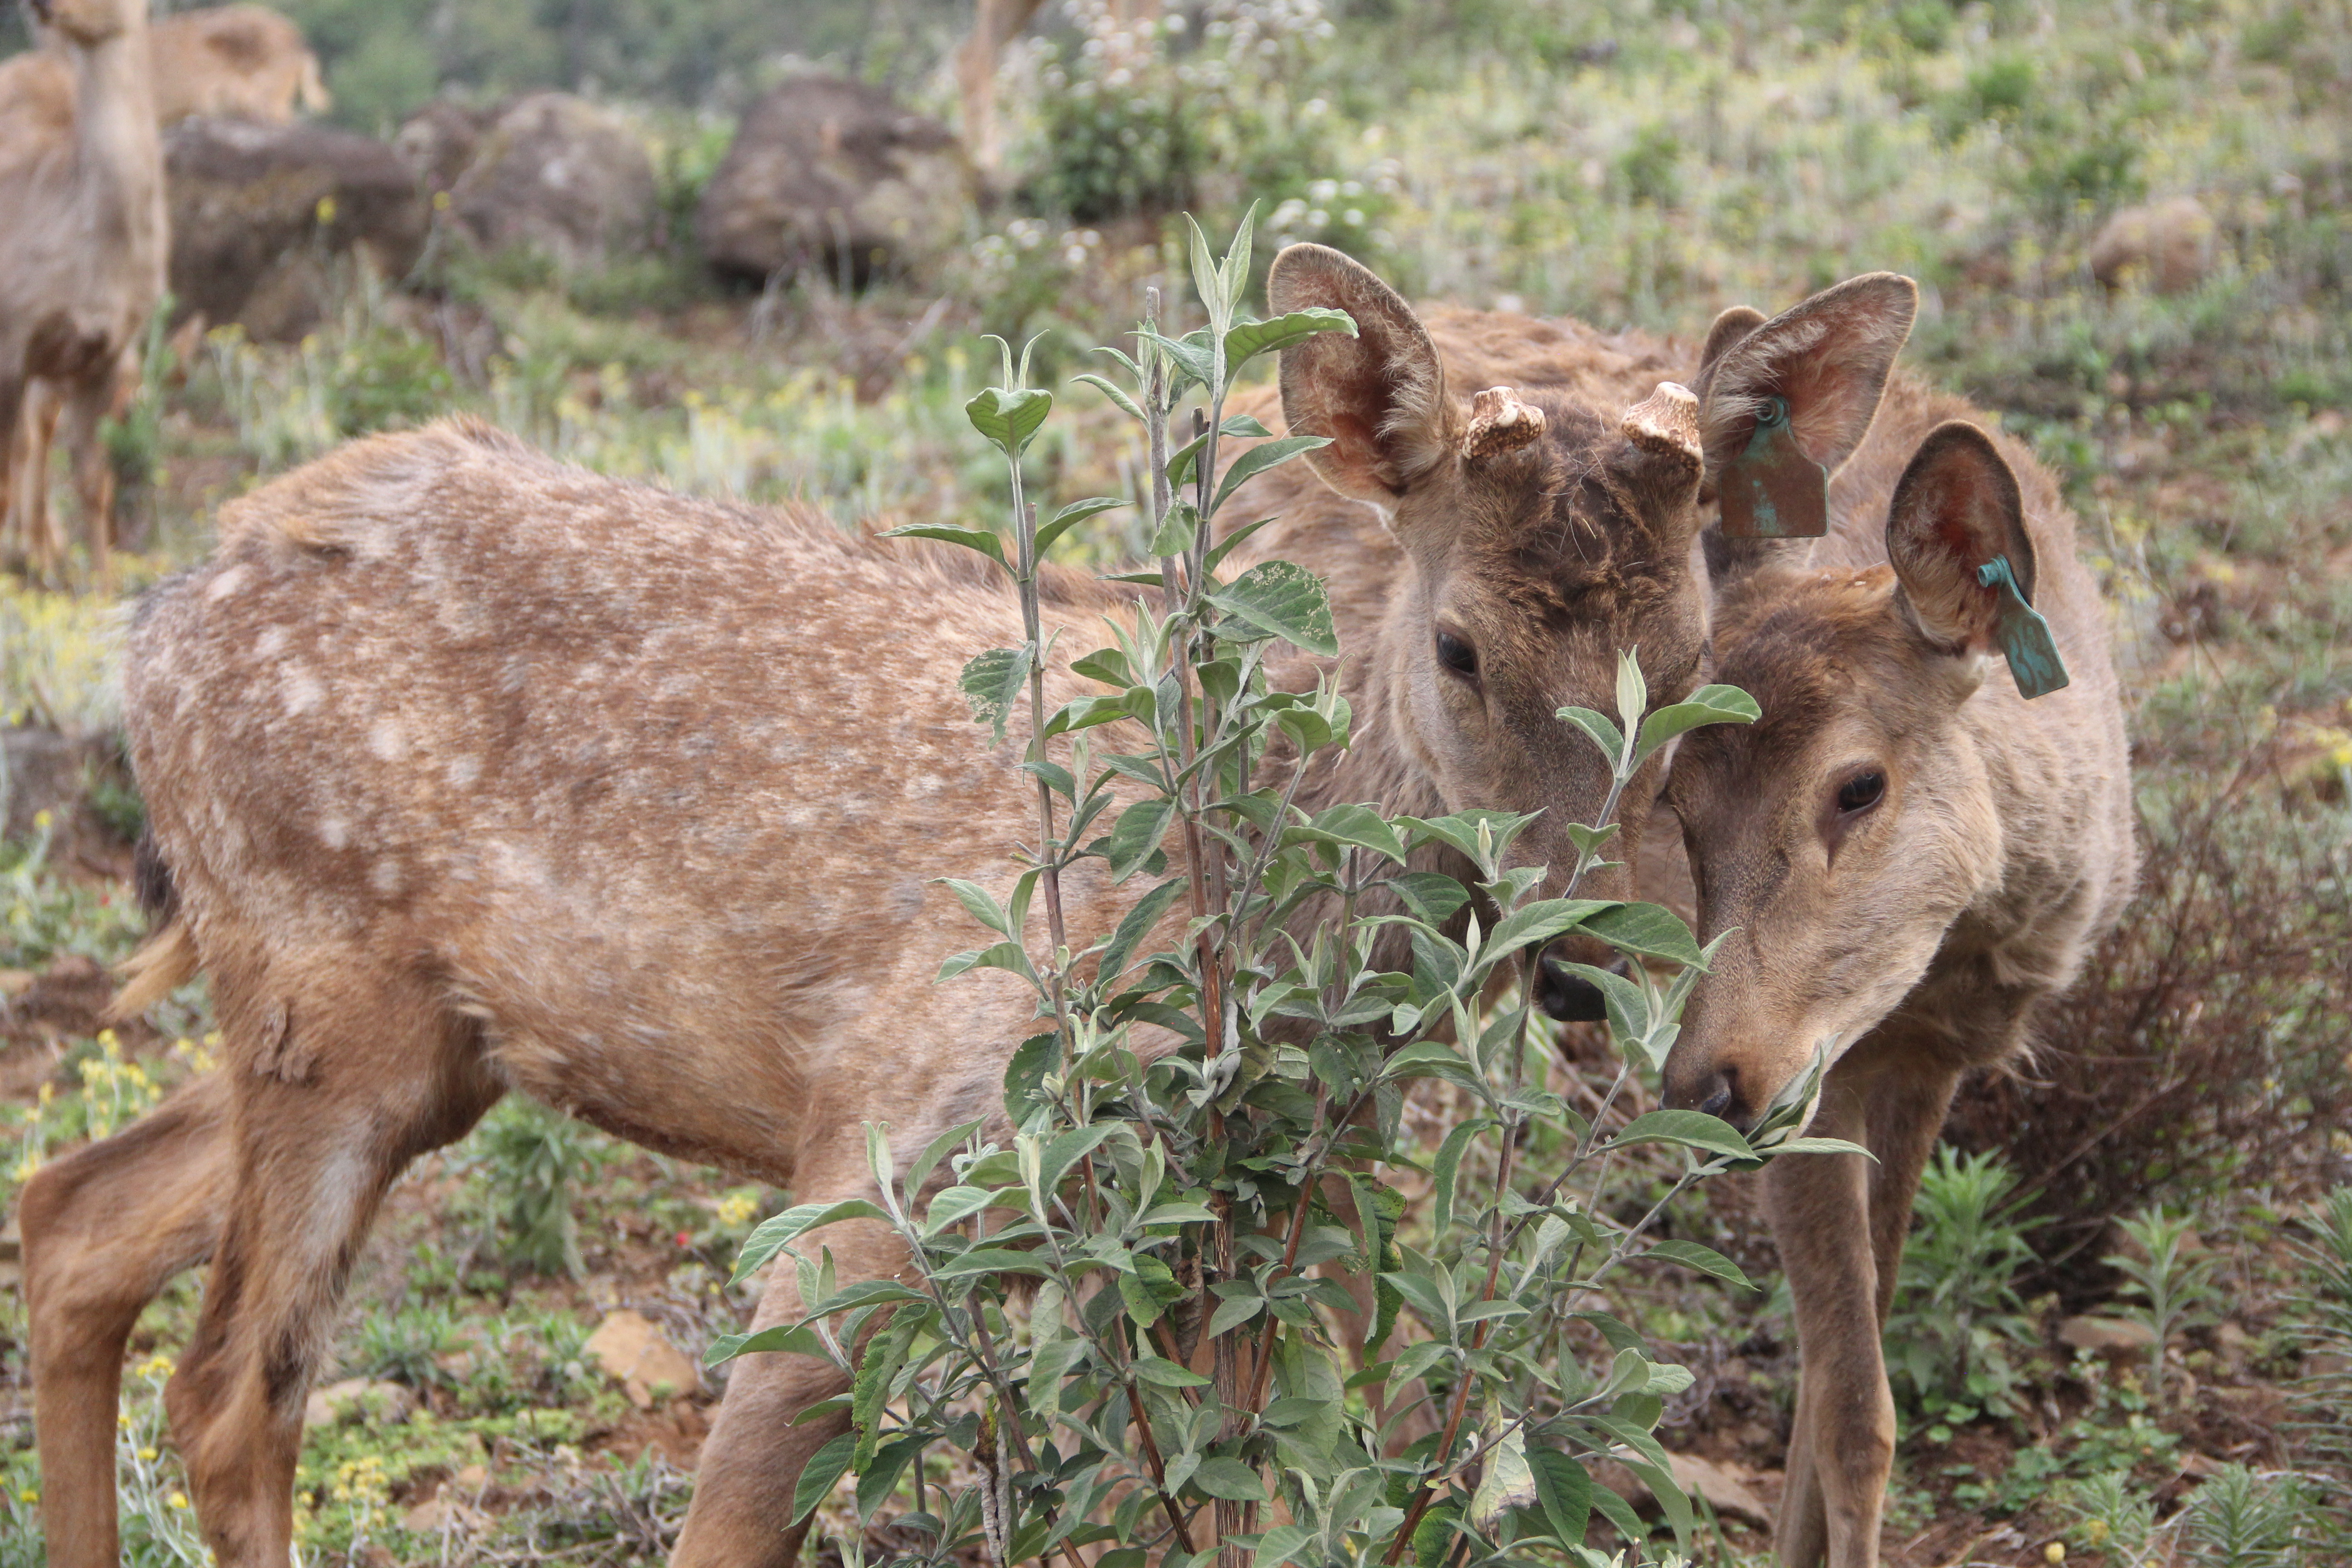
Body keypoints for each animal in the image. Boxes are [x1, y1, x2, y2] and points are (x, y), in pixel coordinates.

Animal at [0, 0, 167, 589]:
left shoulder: (108, 352)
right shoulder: (12, 335)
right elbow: (3, 476)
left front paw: (102, 583)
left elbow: (96, 480)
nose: (40, 5)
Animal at [16, 244, 1917, 1568]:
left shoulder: (1262, 1230)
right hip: (323, 974)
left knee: (75, 1211)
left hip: (409, 1035)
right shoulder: (890, 1146)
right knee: (231, 1390)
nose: (1599, 961)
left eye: (1697, 665)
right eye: (1458, 649)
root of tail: (153, 622)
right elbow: (734, 1514)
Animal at [1655, 360, 2137, 1568]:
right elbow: (1854, 1406)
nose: (1704, 1086)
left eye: (1857, 784)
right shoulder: (1813, 1081)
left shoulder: (1923, 1061)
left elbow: (1838, 1376)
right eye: (1673, 798)